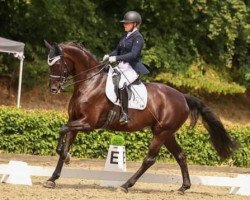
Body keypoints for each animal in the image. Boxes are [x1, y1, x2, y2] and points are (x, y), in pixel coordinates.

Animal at [44, 41, 237, 194]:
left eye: (58, 64)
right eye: (49, 65)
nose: (53, 89)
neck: (89, 83)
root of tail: (182, 97)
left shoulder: (87, 123)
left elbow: (62, 132)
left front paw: (66, 157)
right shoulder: (74, 121)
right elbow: (65, 141)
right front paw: (53, 178)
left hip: (161, 133)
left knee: (149, 159)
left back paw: (125, 185)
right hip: (167, 134)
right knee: (181, 156)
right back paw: (183, 187)